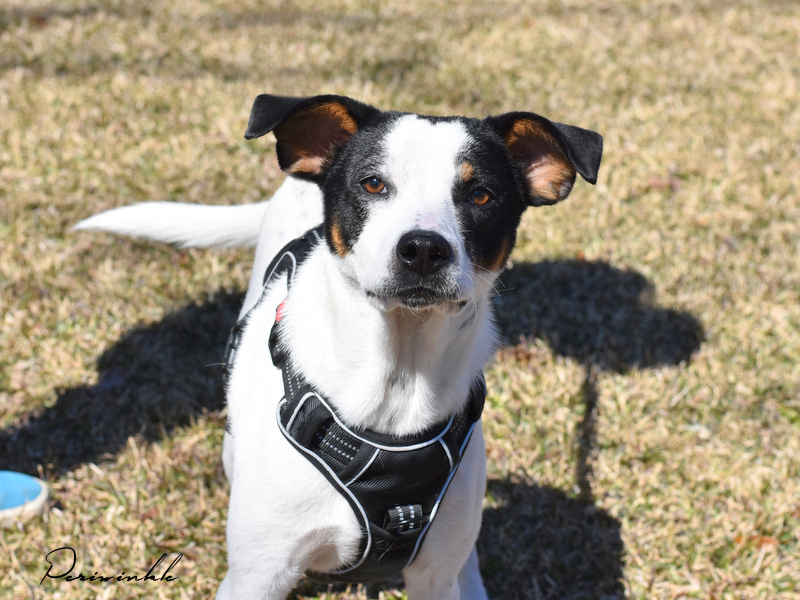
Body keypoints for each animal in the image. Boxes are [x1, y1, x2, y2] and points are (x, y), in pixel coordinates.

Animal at [76, 95, 600, 600]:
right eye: (372, 184)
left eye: (480, 195)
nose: (423, 249)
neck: (395, 389)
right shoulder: (255, 577)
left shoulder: (432, 575)